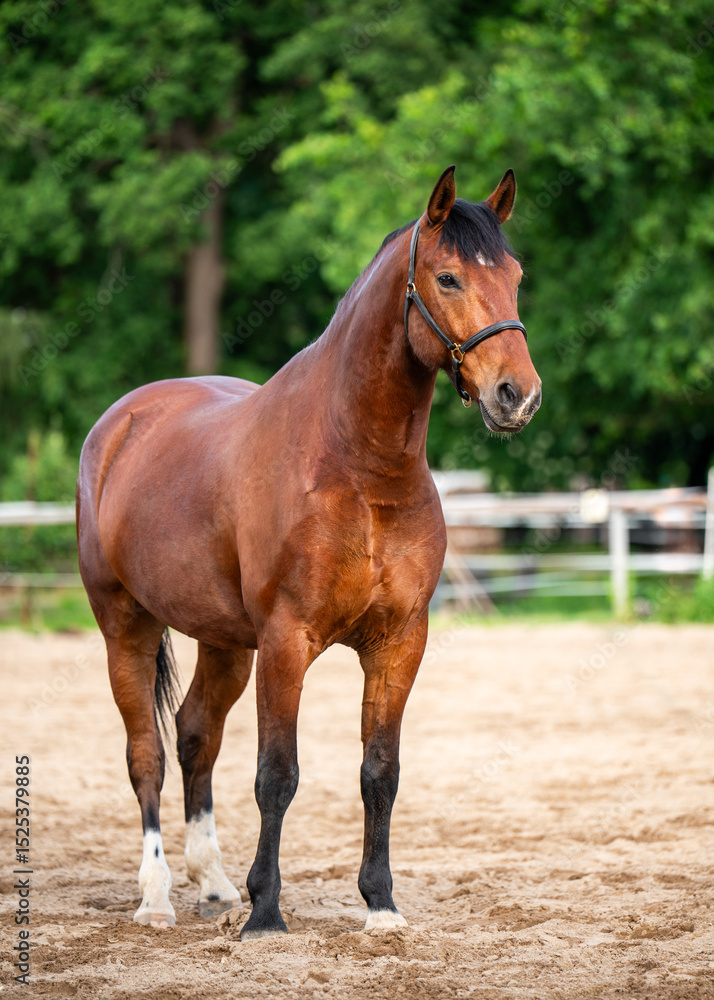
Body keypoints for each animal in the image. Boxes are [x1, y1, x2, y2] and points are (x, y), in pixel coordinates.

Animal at [76, 165, 541, 938]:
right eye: (447, 278)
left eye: (515, 275)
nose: (518, 396)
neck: (359, 467)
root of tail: (120, 422)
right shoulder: (287, 641)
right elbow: (278, 774)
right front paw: (267, 912)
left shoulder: (397, 642)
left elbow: (380, 773)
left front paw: (380, 905)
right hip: (126, 626)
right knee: (147, 755)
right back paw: (157, 896)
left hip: (225, 642)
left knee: (196, 735)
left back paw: (213, 885)